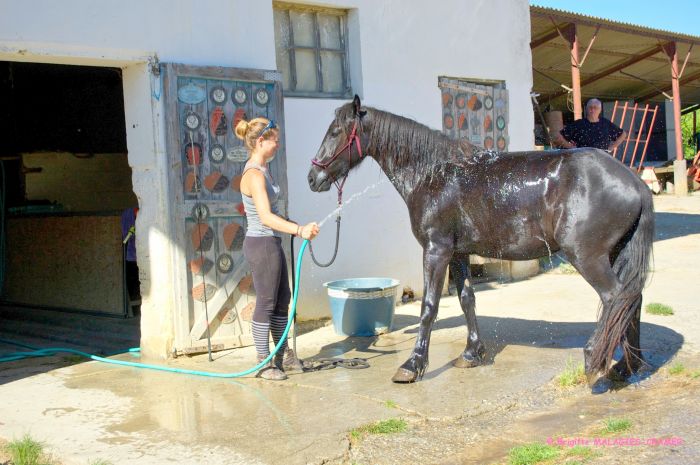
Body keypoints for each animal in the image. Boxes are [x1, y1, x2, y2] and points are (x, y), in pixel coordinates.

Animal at [308, 95, 652, 384]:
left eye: (336, 131)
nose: (313, 178)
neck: (434, 174)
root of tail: (635, 182)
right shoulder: (458, 253)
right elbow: (466, 299)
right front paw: (471, 354)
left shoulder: (436, 250)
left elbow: (429, 306)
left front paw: (412, 365)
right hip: (614, 255)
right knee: (632, 299)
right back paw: (627, 367)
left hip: (588, 257)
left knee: (615, 297)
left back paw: (595, 360)